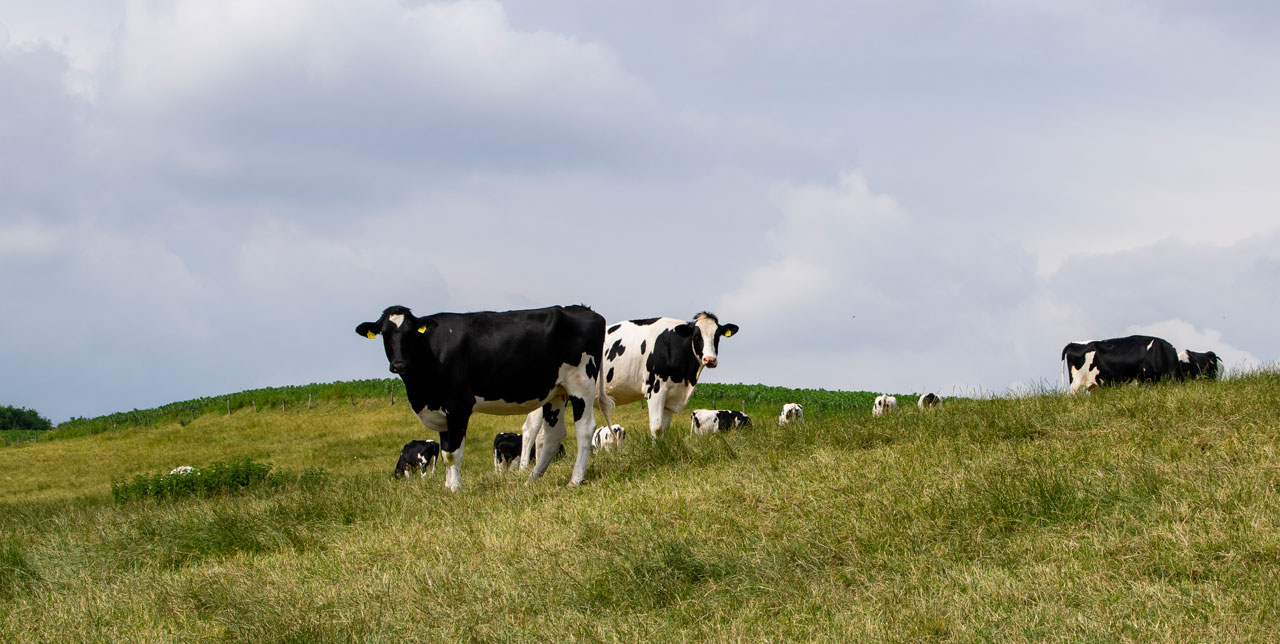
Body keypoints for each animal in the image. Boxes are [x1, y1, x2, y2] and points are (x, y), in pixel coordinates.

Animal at [356, 304, 612, 491]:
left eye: (410, 334)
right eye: (385, 334)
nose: (399, 363)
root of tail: (584, 309)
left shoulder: (458, 406)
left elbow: (452, 453)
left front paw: (455, 489)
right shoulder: (442, 413)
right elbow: (446, 451)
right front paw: (448, 486)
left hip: (581, 383)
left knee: (585, 428)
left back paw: (575, 480)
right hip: (556, 391)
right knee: (552, 435)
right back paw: (531, 479)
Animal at [521, 311, 739, 460]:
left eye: (717, 336)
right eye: (696, 336)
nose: (710, 359)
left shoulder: (671, 396)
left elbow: (664, 428)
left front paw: (663, 450)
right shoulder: (655, 390)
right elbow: (656, 427)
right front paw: (656, 454)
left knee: (540, 434)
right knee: (531, 431)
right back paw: (525, 469)